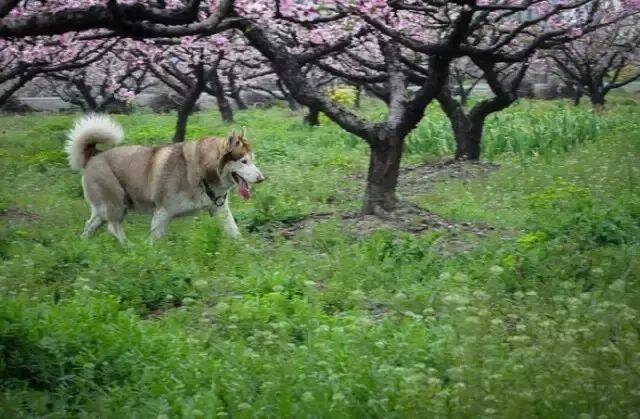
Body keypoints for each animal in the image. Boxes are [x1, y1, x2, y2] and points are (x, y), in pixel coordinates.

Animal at [65, 116, 264, 244]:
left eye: (253, 159)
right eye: (244, 161)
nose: (262, 178)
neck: (200, 171)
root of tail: (93, 155)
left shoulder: (220, 210)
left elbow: (234, 233)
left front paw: (246, 251)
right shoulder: (162, 214)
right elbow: (154, 241)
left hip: (104, 209)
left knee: (90, 225)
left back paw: (84, 244)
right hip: (117, 204)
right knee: (114, 228)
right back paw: (128, 247)